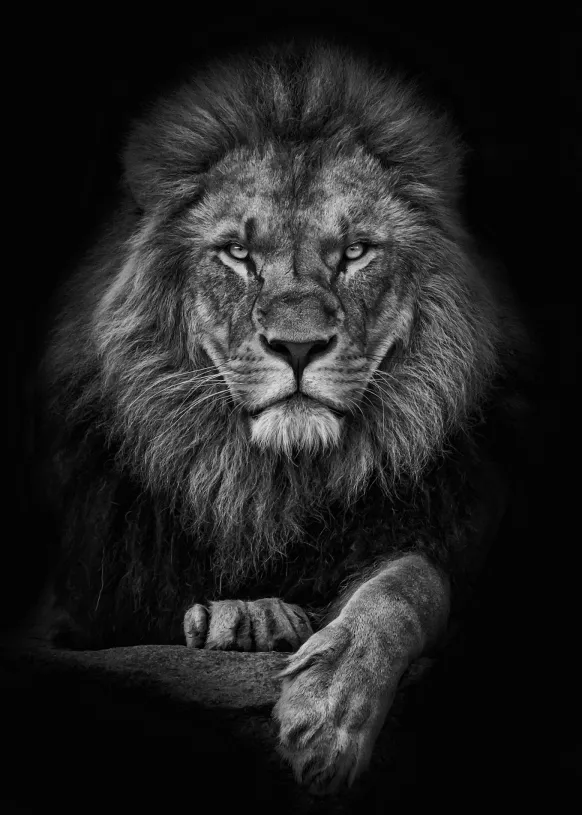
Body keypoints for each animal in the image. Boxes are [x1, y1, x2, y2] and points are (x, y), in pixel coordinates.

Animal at [37, 41, 530, 793]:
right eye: (238, 254)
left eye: (354, 251)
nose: (297, 346)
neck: (272, 484)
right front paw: (246, 615)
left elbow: (409, 583)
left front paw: (329, 710)